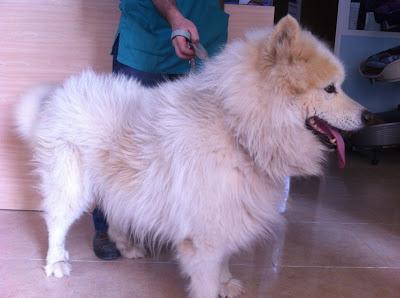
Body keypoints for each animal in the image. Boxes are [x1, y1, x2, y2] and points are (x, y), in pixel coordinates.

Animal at [14, 16, 370, 298]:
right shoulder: (204, 237)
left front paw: (227, 284)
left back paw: (127, 246)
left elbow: (224, 262)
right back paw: (57, 263)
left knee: (115, 215)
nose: (369, 117)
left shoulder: (226, 219)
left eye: (338, 86)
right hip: (71, 187)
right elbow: (207, 279)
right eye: (330, 89)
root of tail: (57, 94)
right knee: (57, 224)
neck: (236, 128)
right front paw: (216, 288)